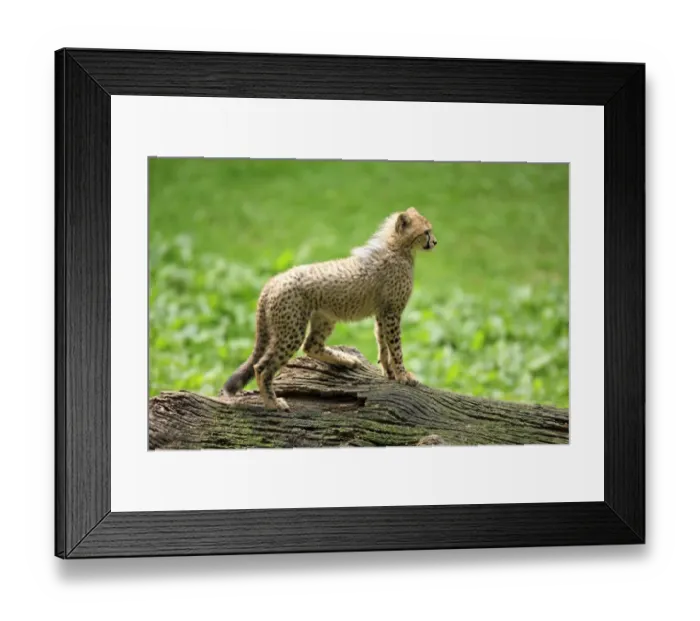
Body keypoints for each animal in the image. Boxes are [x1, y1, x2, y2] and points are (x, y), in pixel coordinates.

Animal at [219, 206, 438, 411]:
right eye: (426, 231)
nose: (435, 242)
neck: (397, 248)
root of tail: (273, 280)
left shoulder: (383, 312)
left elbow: (383, 343)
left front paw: (389, 372)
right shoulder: (392, 313)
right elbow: (396, 348)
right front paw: (403, 375)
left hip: (324, 318)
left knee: (311, 345)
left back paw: (345, 359)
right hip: (291, 331)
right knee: (262, 367)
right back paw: (273, 403)